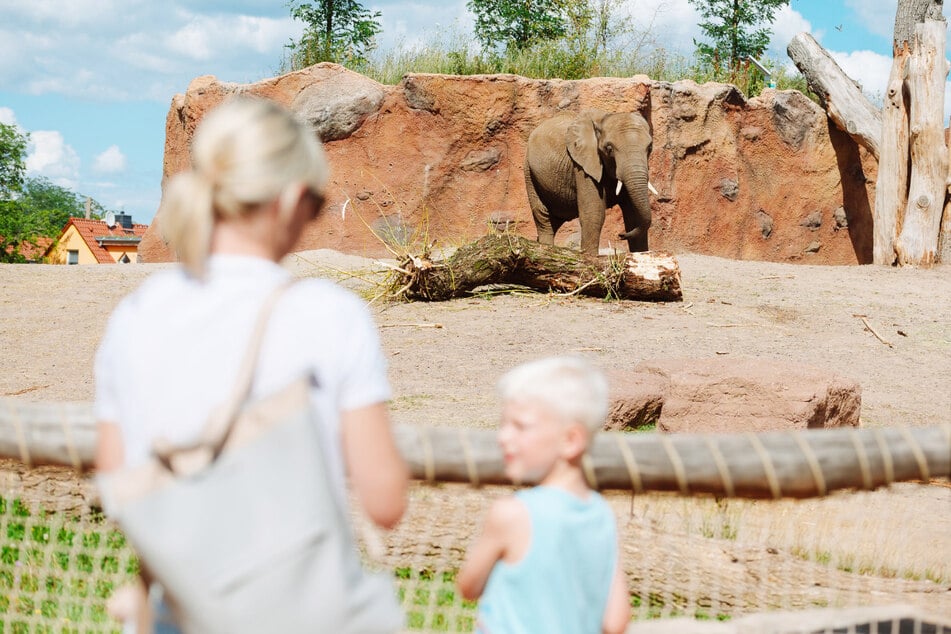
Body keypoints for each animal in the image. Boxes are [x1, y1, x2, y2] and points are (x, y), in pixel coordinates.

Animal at [520, 110, 656, 256]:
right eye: (609, 148)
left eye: (650, 147)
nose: (621, 235)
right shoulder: (583, 166)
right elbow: (593, 214)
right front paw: (590, 257)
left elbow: (634, 216)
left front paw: (641, 254)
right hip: (529, 171)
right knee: (543, 217)